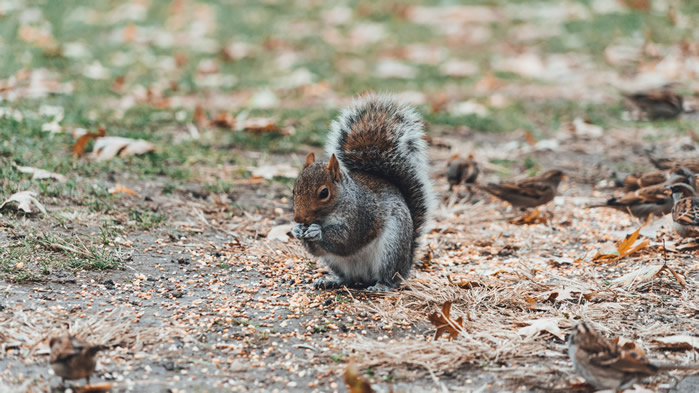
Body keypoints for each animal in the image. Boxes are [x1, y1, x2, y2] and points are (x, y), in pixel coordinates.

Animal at [292, 93, 434, 290]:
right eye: (294, 190)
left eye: (324, 193)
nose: (298, 218)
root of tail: (405, 265)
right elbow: (316, 250)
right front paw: (297, 230)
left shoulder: (361, 216)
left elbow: (346, 240)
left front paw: (316, 231)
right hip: (336, 263)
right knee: (348, 278)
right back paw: (331, 281)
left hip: (391, 249)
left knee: (390, 277)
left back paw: (382, 285)